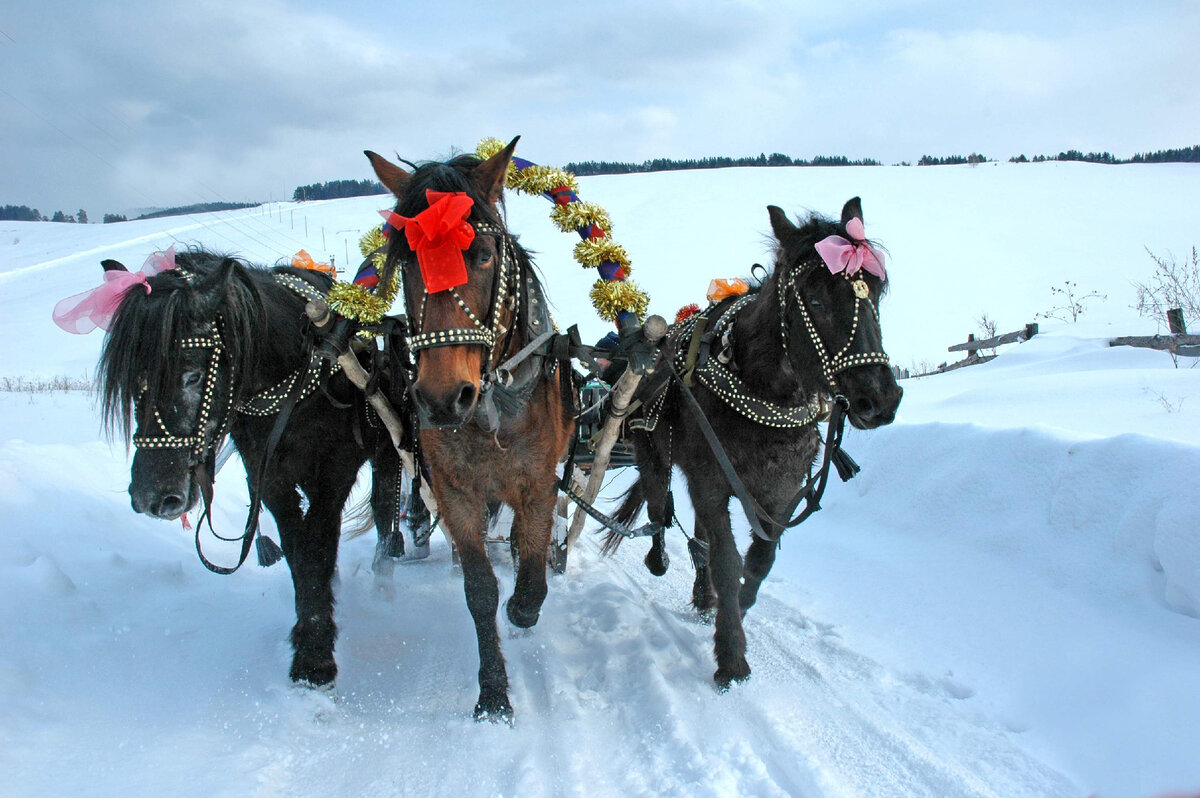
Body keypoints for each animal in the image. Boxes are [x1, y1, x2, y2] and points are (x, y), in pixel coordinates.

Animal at [94, 247, 412, 686]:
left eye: (193, 375)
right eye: (134, 383)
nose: (152, 497)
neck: (295, 372)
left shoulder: (331, 475)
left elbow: (317, 545)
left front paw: (315, 657)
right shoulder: (270, 476)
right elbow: (297, 549)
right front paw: (312, 627)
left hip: (388, 450)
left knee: (385, 513)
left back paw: (384, 584)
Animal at [362, 138, 573, 720]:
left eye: (482, 255)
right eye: (407, 262)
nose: (440, 398)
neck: (491, 409)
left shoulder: (538, 482)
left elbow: (531, 567)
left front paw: (523, 607)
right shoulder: (455, 490)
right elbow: (480, 591)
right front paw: (494, 693)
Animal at [609, 198, 902, 686]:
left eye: (875, 293)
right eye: (815, 298)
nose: (879, 398)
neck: (764, 392)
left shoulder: (780, 491)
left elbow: (758, 564)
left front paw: (733, 613)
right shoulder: (711, 481)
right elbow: (728, 564)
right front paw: (731, 655)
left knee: (698, 534)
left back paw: (701, 595)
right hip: (652, 449)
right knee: (656, 504)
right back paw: (659, 558)